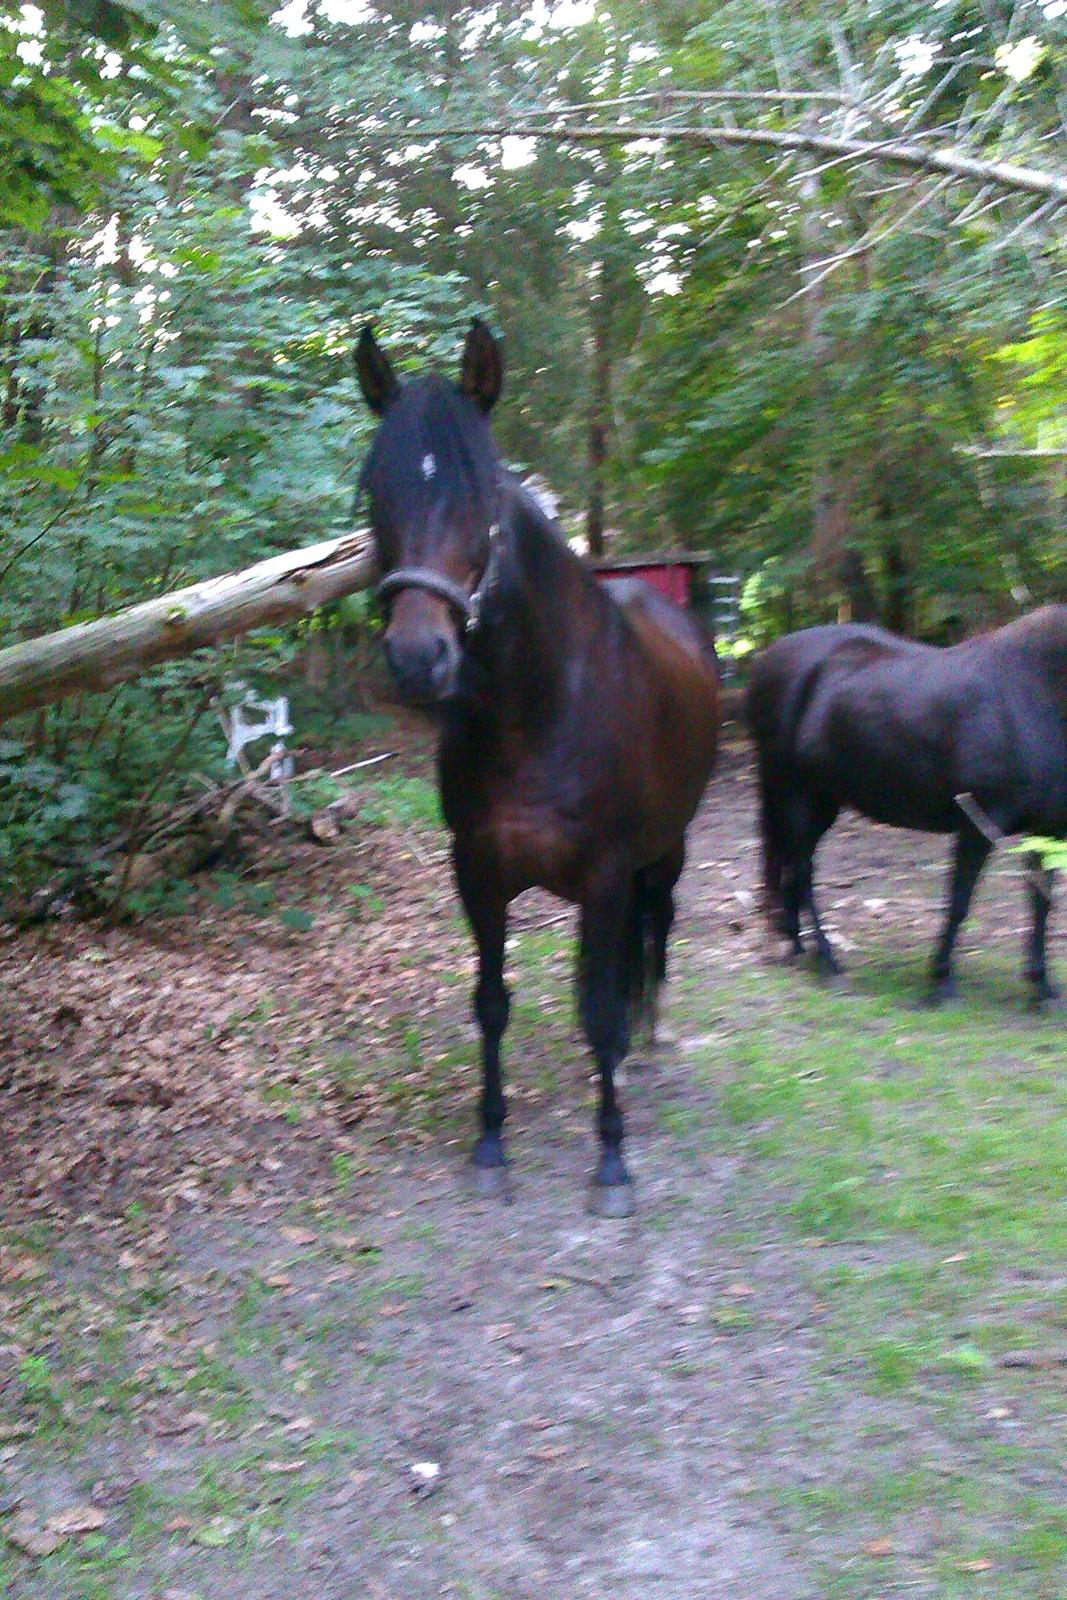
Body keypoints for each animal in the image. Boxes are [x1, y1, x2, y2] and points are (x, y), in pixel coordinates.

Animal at [355, 321, 723, 1209]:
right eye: (374, 489)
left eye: (481, 494)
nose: (418, 659)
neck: (540, 713)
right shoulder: (478, 873)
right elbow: (491, 1002)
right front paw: (490, 1143)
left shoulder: (607, 875)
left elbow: (599, 1010)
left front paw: (612, 1158)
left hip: (667, 849)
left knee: (656, 929)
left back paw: (650, 1034)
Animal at [748, 604, 1067, 1004]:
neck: (1035, 694)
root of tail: (768, 659)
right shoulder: (977, 825)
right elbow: (959, 901)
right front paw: (940, 979)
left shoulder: (1049, 831)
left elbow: (1041, 901)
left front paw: (1041, 985)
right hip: (796, 795)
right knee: (803, 874)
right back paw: (828, 962)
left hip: (820, 802)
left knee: (791, 868)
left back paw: (796, 946)